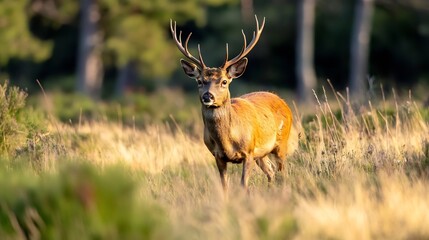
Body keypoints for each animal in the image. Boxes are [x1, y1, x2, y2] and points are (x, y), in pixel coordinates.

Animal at [169, 15, 292, 190]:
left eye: (224, 81)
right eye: (199, 81)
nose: (208, 96)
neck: (227, 140)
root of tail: (282, 100)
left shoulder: (249, 152)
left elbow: (243, 185)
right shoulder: (218, 156)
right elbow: (224, 187)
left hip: (281, 144)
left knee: (283, 172)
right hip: (262, 154)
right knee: (271, 171)